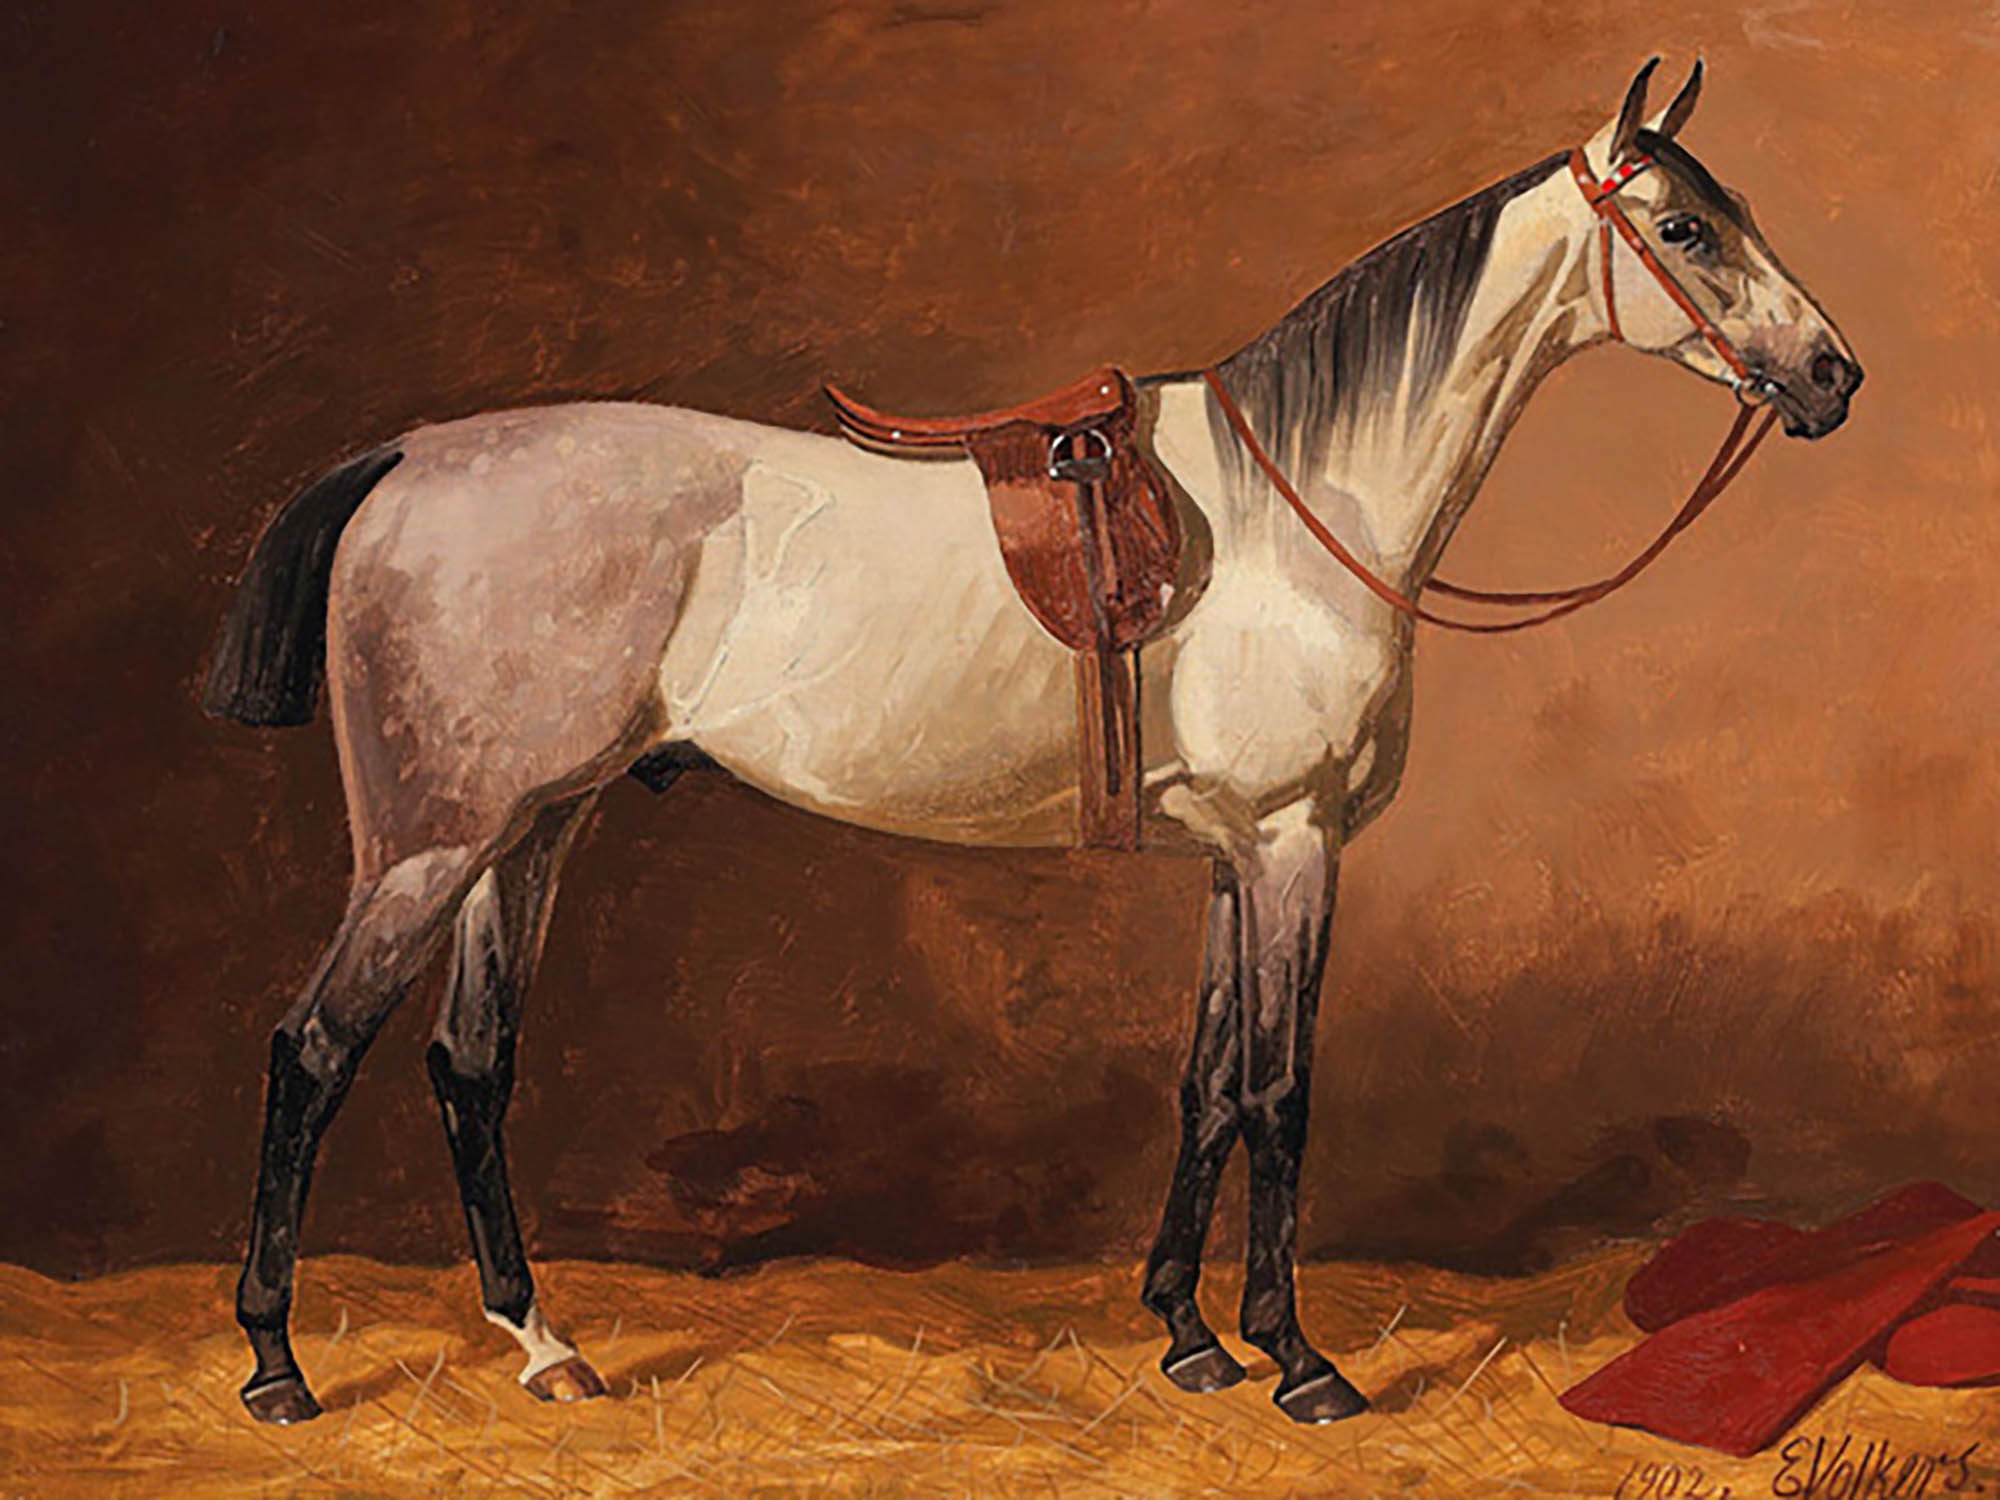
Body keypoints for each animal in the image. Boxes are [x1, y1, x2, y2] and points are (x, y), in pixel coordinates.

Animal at [203, 58, 1861, 1427]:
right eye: (1688, 229)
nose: (1833, 373)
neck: (1304, 503)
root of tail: (409, 458)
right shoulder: (1293, 844)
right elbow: (1281, 1091)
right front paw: (1298, 1360)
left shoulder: (1232, 855)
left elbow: (1205, 1083)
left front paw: (1189, 1335)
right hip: (432, 845)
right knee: (313, 1049)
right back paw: (276, 1365)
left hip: (533, 831)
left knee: (471, 1064)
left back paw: (542, 1344)